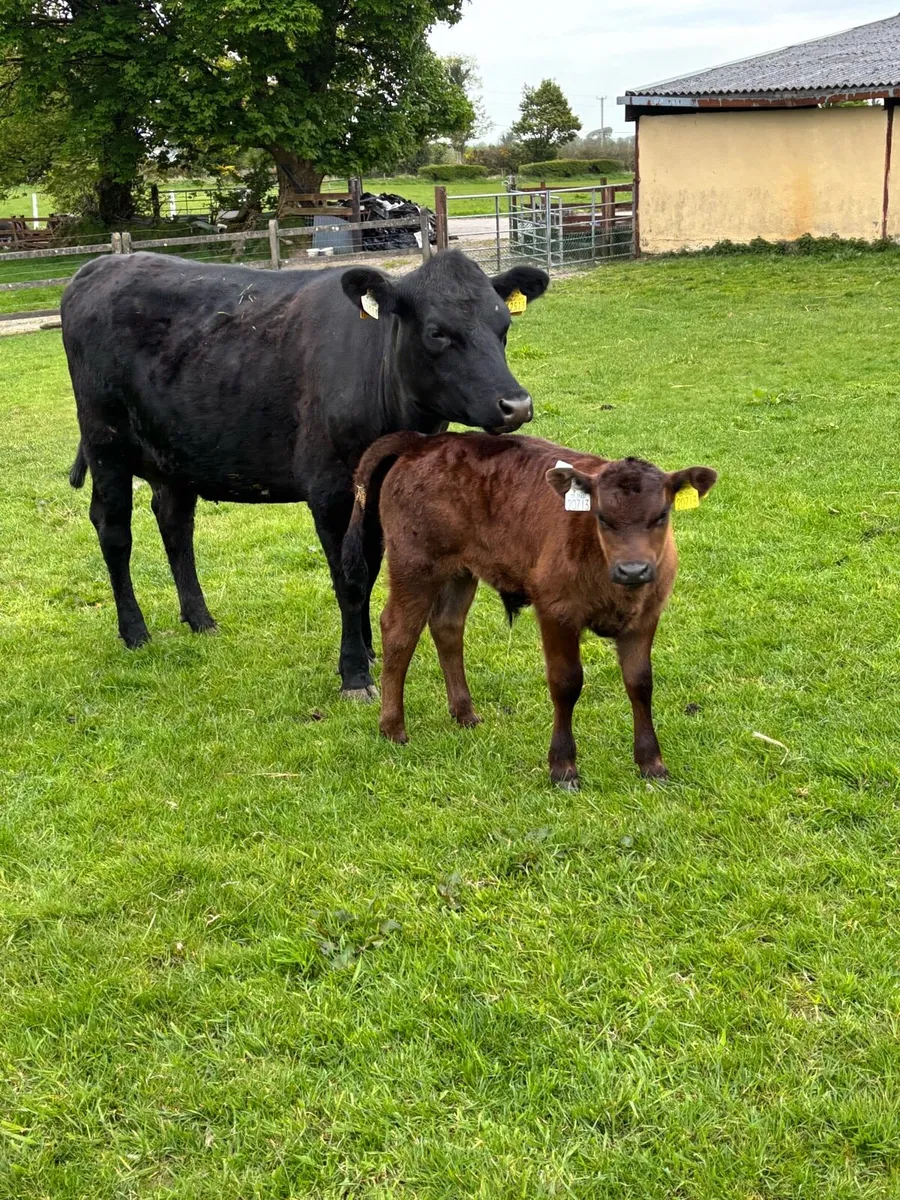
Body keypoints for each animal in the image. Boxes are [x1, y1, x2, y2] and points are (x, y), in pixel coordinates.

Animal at [61, 249, 549, 697]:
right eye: (436, 332)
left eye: (503, 327)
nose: (516, 404)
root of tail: (99, 265)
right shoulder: (330, 492)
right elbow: (349, 579)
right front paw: (354, 674)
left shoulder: (374, 490)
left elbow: (370, 568)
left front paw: (368, 649)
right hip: (106, 441)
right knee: (114, 530)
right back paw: (135, 632)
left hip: (175, 454)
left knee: (175, 524)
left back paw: (200, 620)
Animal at [342, 431, 717, 787]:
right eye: (602, 517)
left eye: (661, 515)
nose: (633, 570)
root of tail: (423, 441)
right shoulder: (556, 611)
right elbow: (566, 682)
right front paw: (563, 768)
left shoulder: (645, 618)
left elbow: (640, 683)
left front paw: (652, 764)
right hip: (414, 565)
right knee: (398, 632)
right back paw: (393, 727)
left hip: (461, 571)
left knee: (447, 626)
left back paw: (464, 713)